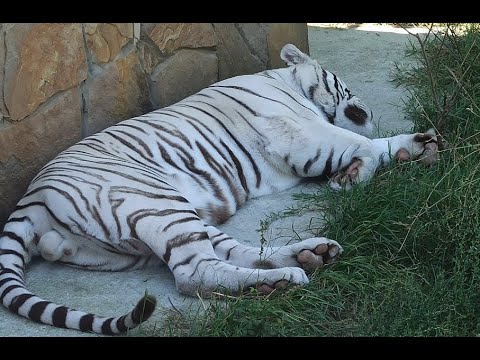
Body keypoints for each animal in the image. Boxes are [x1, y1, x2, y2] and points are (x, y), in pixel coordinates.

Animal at [0, 44, 438, 334]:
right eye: (343, 84)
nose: (367, 107)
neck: (284, 80)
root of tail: (30, 197)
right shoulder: (298, 134)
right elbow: (361, 143)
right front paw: (368, 168)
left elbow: (364, 145)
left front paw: (408, 151)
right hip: (155, 201)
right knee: (194, 273)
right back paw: (286, 278)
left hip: (160, 220)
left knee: (233, 253)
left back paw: (308, 256)